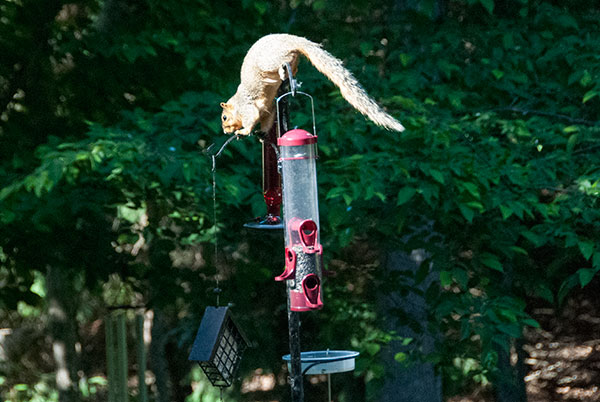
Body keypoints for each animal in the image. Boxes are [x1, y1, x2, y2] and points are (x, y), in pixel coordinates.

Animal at [221, 32, 408, 134]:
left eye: (224, 117)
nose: (224, 130)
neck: (237, 102)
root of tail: (291, 40)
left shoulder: (247, 107)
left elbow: (251, 117)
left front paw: (244, 131)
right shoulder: (266, 109)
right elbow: (267, 120)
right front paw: (262, 134)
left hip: (269, 61)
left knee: (283, 60)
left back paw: (282, 70)